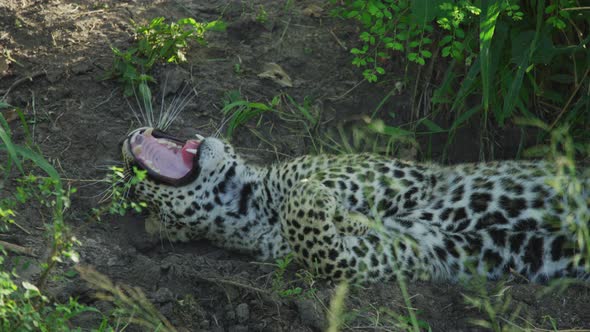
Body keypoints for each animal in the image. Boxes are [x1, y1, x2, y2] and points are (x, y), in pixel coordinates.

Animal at [122, 127, 588, 282]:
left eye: (130, 186)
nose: (127, 146)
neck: (247, 202)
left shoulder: (400, 174)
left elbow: (310, 188)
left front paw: (341, 210)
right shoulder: (405, 251)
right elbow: (322, 251)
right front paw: (349, 219)